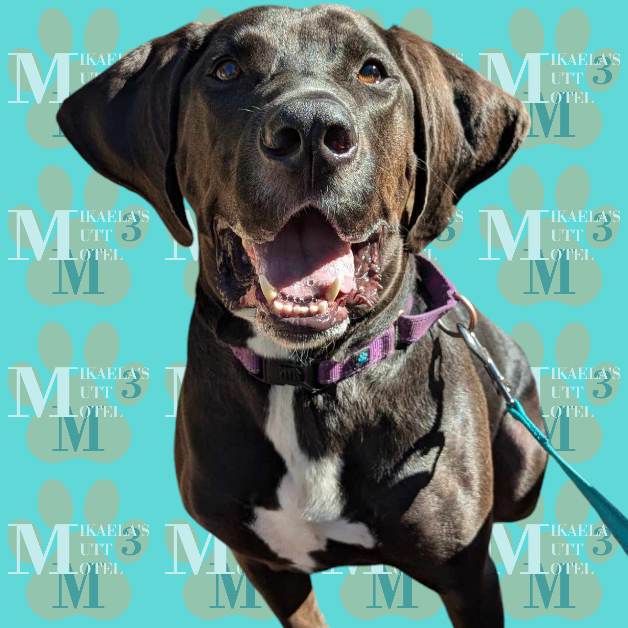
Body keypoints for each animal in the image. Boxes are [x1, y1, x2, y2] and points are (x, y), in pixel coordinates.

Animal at [57, 5, 548, 626]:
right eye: (225, 69)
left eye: (372, 71)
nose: (312, 132)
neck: (307, 377)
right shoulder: (264, 561)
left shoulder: (467, 575)